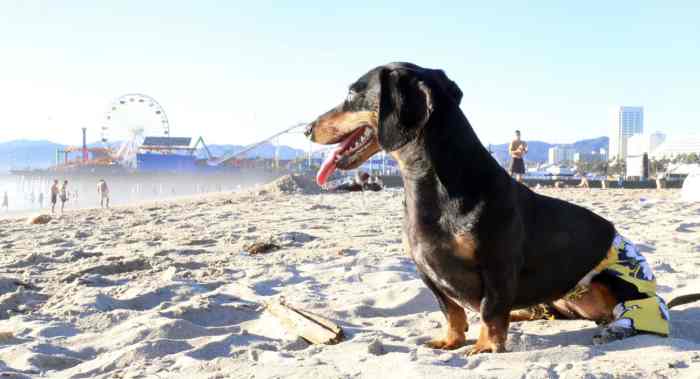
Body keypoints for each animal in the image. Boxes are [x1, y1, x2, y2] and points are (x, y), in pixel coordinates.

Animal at [306, 63, 700, 356]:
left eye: (352, 94)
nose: (308, 128)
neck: (435, 188)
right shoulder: (426, 271)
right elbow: (451, 311)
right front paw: (451, 340)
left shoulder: (496, 265)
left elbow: (490, 309)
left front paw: (486, 346)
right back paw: (527, 314)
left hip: (616, 281)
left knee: (632, 314)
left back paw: (617, 328)